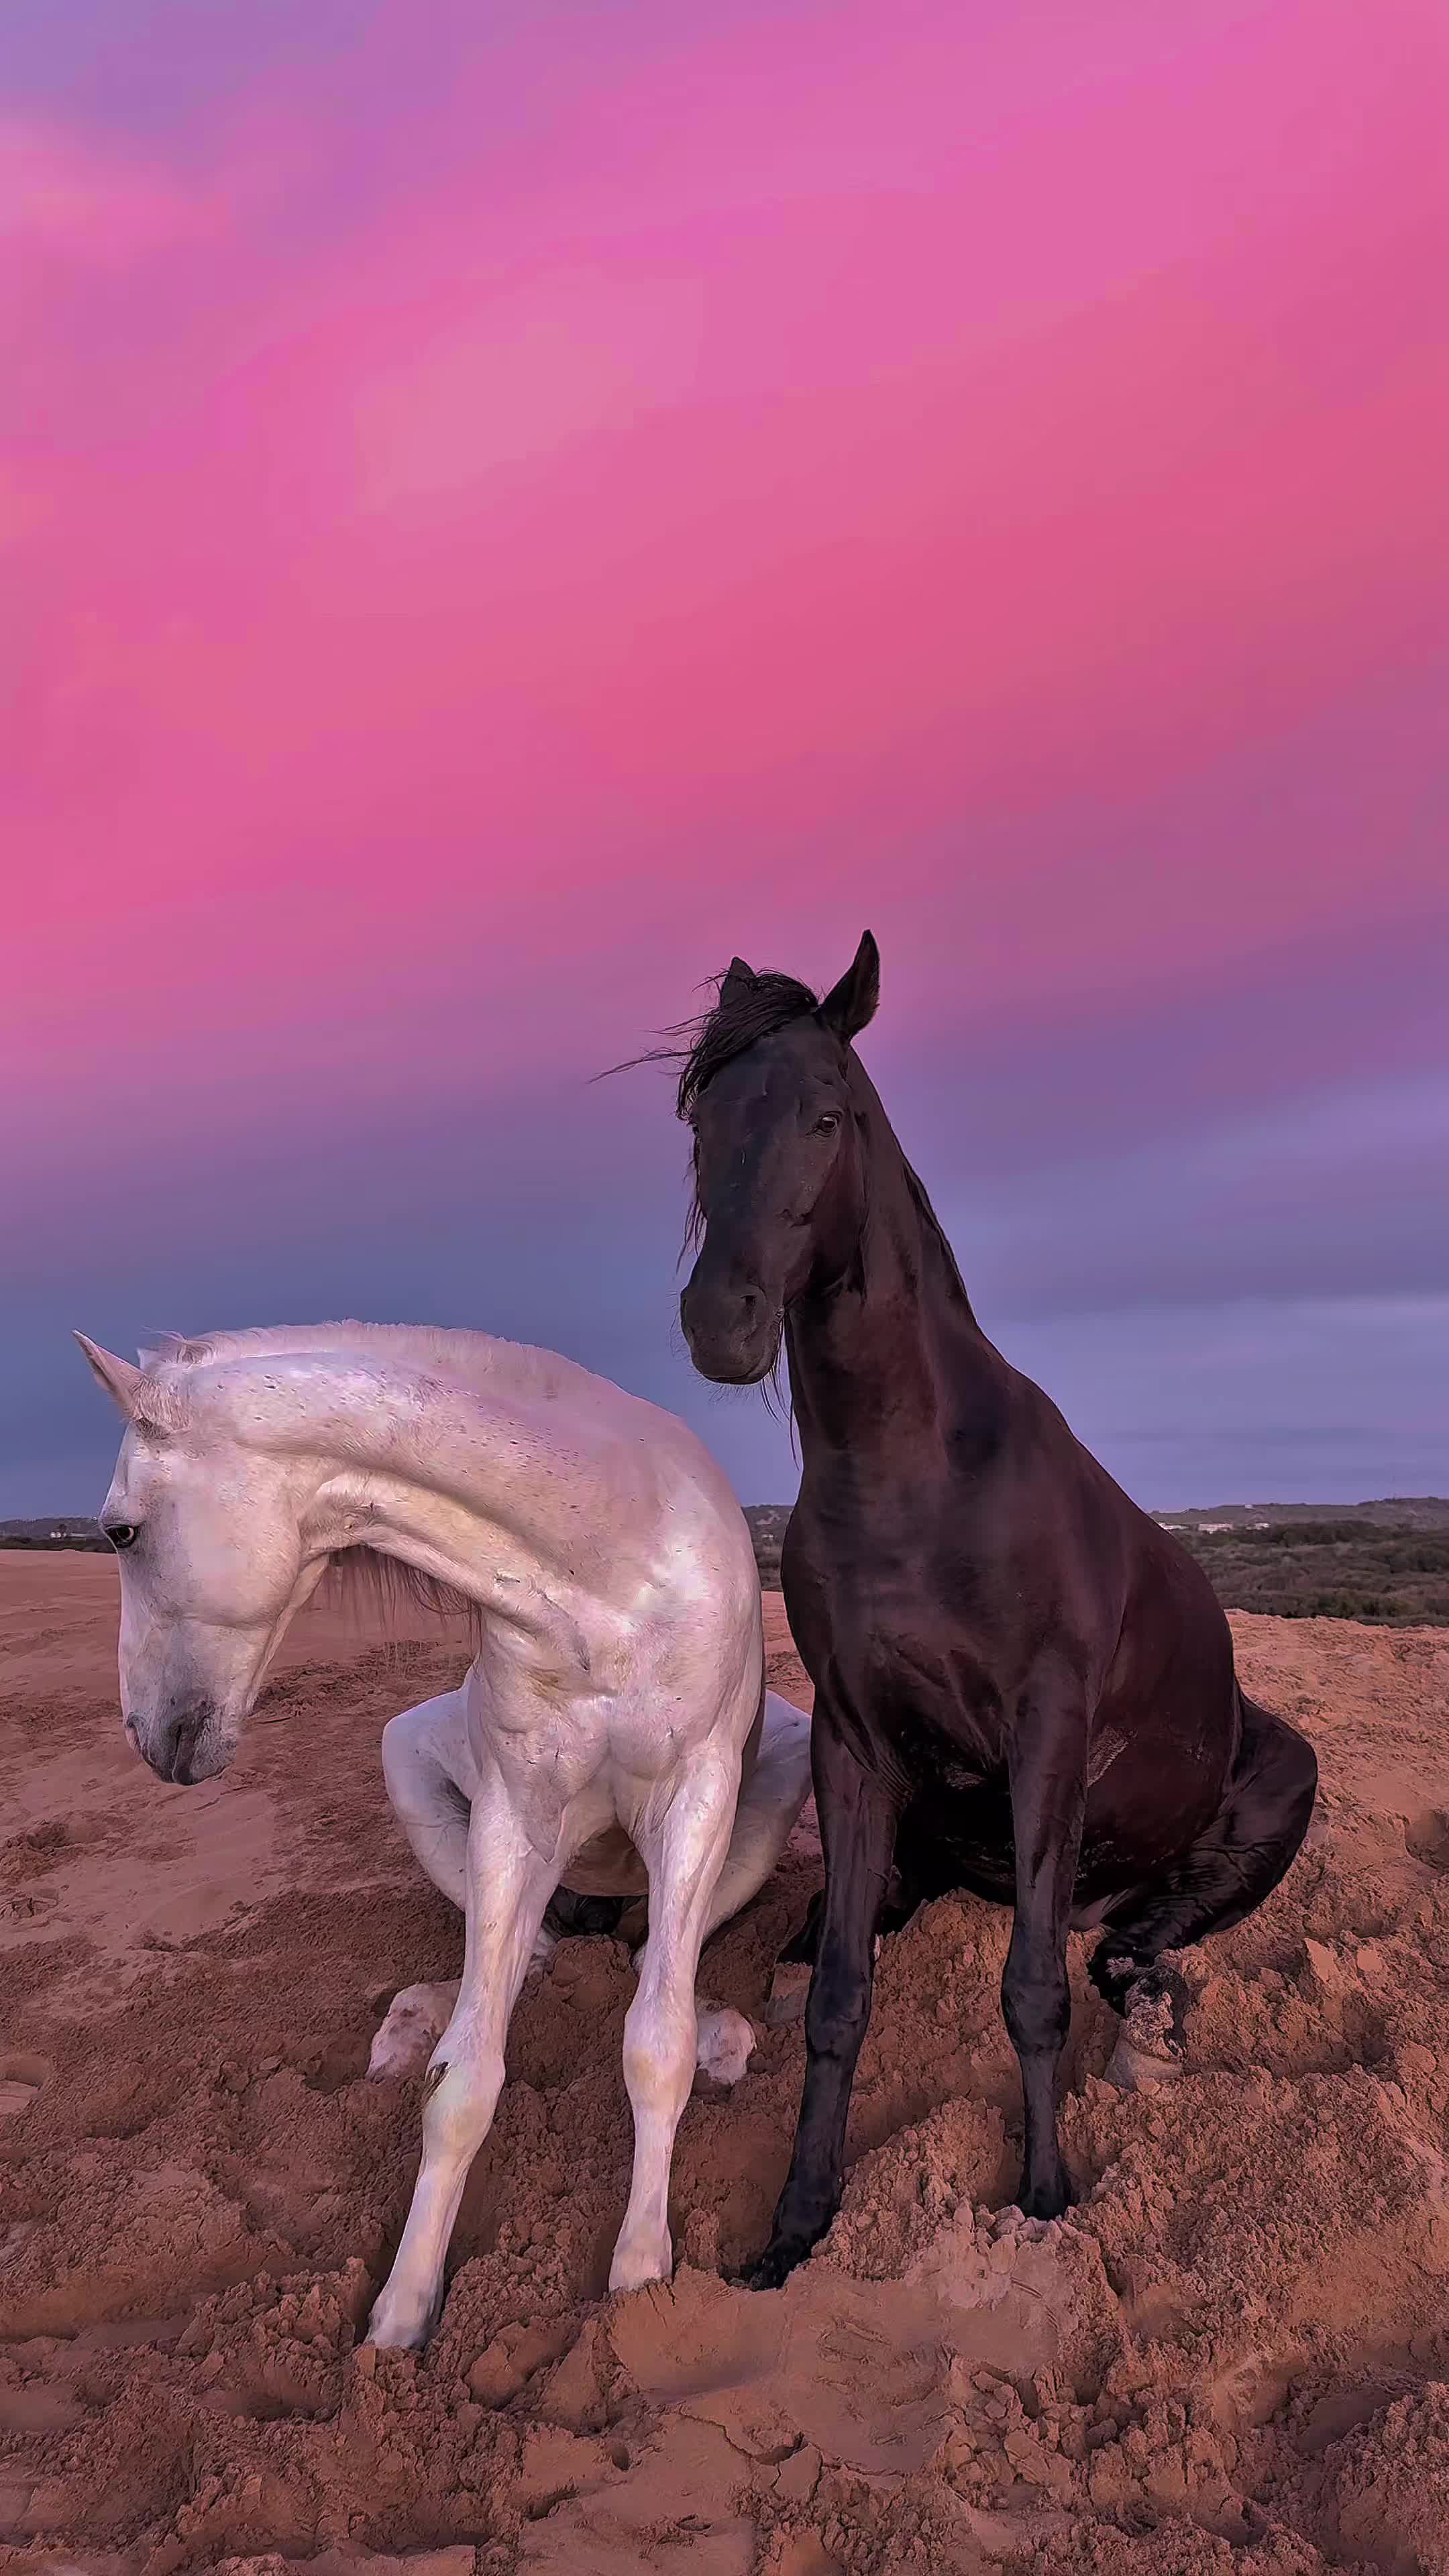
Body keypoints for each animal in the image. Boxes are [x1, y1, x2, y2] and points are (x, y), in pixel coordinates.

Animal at [76, 1321, 812, 2346]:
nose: (153, 1739)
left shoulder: (697, 1799)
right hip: (411, 1762)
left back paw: (724, 2038)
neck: (609, 1577)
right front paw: (400, 2316)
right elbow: (463, 2082)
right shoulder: (514, 1816)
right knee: (527, 1963)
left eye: (121, 1530)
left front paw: (640, 2278)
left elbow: (653, 2045)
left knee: (649, 1963)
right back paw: (413, 2026)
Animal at [673, 933, 1319, 2288]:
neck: (914, 1478)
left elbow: (1032, 1990)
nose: (722, 1323)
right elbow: (840, 2001)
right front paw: (796, 2227)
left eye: (824, 1115)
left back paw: (1150, 2028)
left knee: (1126, 1948)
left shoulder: (1046, 1733)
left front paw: (1046, 2198)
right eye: (701, 1122)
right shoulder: (855, 1745)